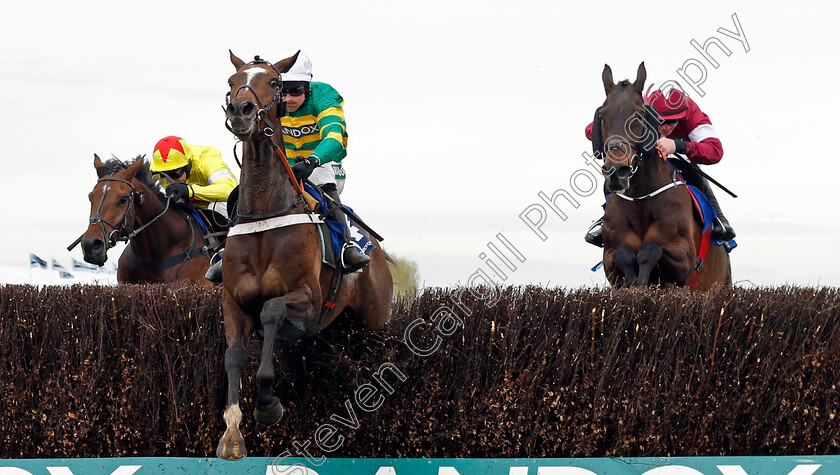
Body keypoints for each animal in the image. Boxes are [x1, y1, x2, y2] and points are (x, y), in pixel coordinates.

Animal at [213, 49, 390, 462]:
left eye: (275, 82)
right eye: (232, 80)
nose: (241, 110)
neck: (266, 212)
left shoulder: (307, 300)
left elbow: (272, 309)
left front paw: (267, 406)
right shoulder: (233, 302)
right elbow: (234, 356)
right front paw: (232, 434)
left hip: (374, 321)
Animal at [592, 63, 728, 290]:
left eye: (639, 115)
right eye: (602, 115)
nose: (616, 172)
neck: (639, 196)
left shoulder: (685, 261)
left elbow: (651, 249)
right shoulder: (610, 260)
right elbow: (623, 252)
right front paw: (636, 286)